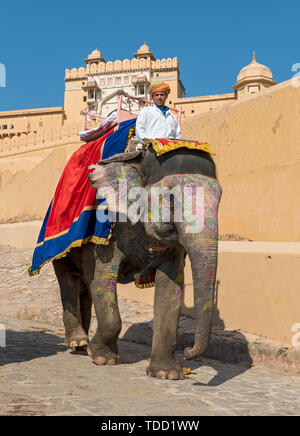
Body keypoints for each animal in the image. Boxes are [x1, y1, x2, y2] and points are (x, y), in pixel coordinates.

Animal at [52, 142, 221, 378]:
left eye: (220, 199)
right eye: (171, 200)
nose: (189, 352)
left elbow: (171, 289)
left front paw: (166, 374)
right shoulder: (108, 232)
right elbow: (102, 280)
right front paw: (101, 358)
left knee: (84, 287)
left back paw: (83, 345)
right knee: (69, 280)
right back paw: (79, 343)